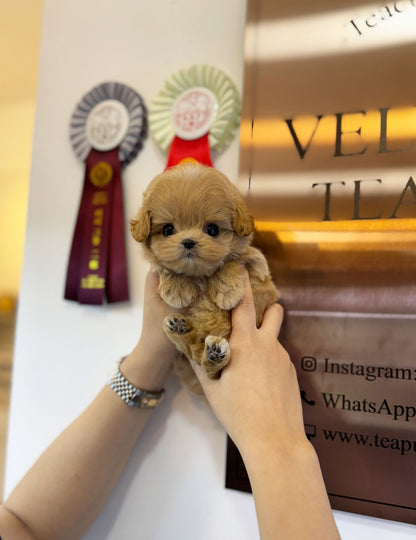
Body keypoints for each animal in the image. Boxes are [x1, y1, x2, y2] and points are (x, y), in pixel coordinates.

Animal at [130, 160, 280, 392]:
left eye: (212, 229)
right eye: (167, 230)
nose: (189, 242)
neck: (199, 275)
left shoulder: (258, 269)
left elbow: (233, 261)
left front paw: (226, 292)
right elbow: (166, 267)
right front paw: (177, 289)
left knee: (208, 366)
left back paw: (213, 355)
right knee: (193, 350)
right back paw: (181, 330)